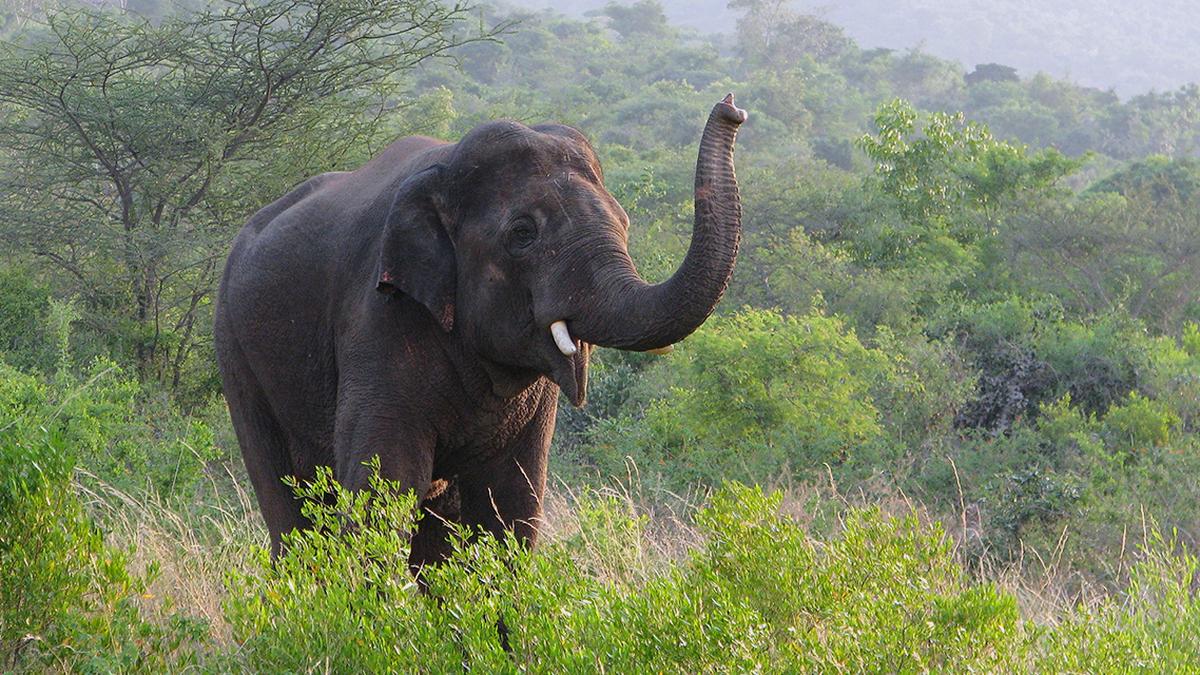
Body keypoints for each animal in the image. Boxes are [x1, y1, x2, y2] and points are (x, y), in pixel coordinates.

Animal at [211, 91, 744, 562]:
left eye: (624, 221)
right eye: (523, 233)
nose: (732, 108)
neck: (443, 173)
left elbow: (510, 504)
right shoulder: (376, 319)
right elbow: (385, 485)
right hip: (237, 356)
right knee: (293, 512)